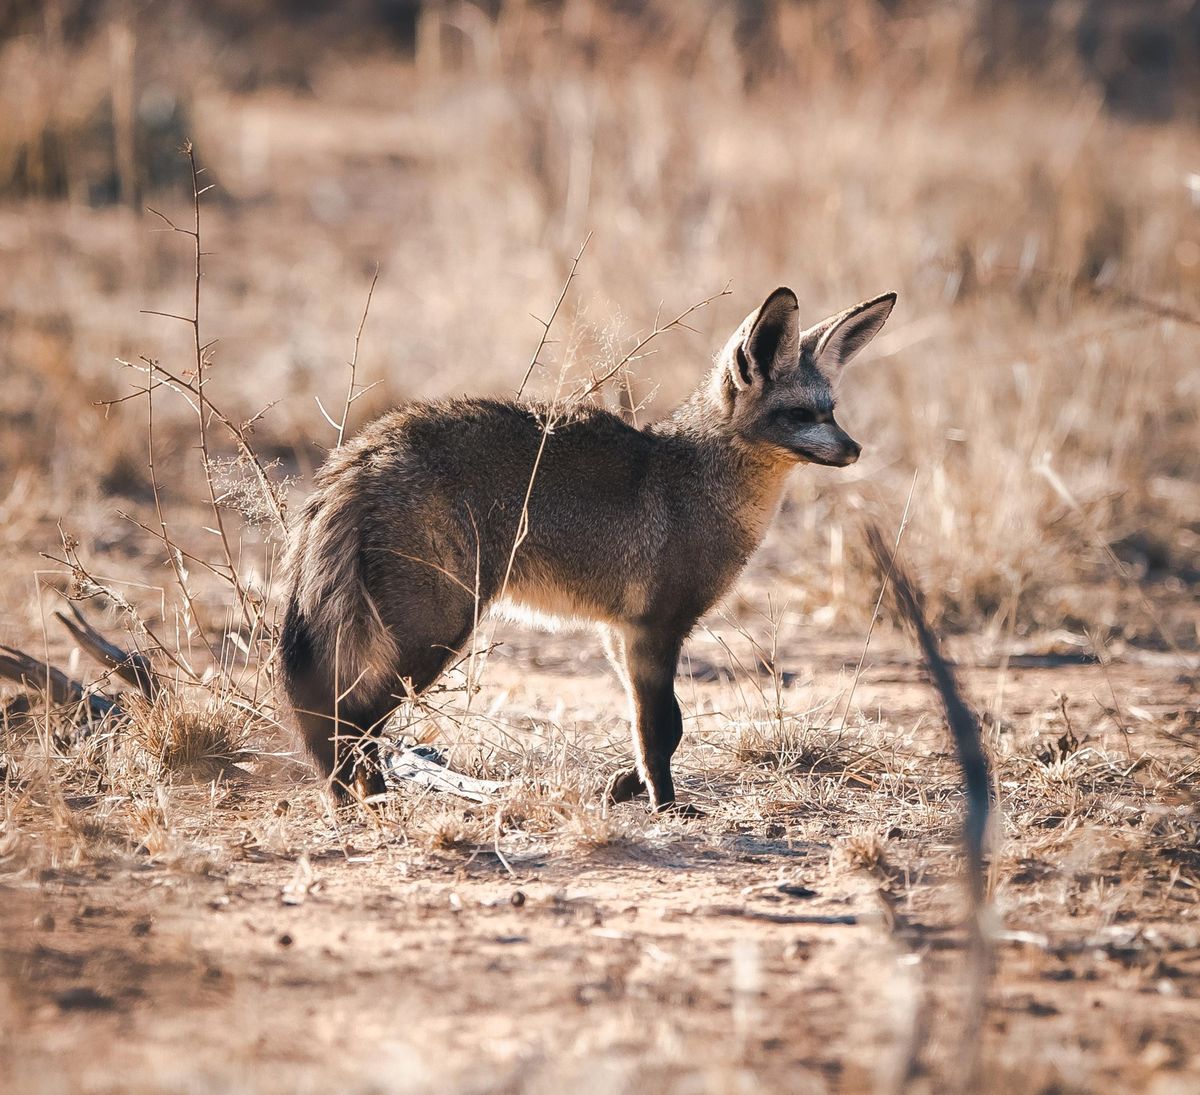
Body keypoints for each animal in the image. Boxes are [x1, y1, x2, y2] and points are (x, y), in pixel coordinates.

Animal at [278, 286, 896, 810]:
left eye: (831, 410)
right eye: (800, 414)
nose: (854, 450)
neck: (696, 480)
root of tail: (367, 447)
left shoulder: (619, 632)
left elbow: (658, 726)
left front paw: (629, 785)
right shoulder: (655, 628)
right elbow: (662, 727)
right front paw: (667, 806)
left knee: (346, 717)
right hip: (436, 630)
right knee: (350, 716)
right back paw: (360, 799)